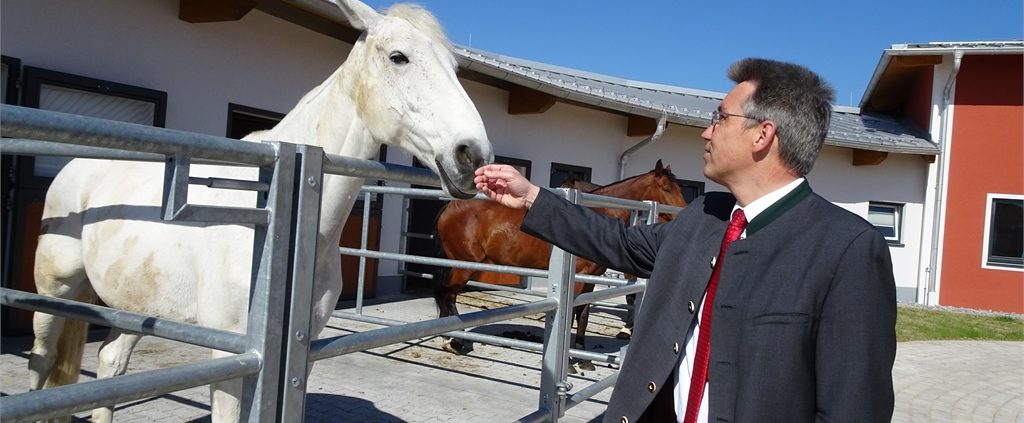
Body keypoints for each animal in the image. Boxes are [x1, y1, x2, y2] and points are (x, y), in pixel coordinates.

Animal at [28, 1, 491, 419]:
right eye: (398, 57)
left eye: (455, 68)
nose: (473, 155)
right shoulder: (232, 358)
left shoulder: (299, 356)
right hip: (55, 292)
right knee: (42, 363)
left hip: (135, 306)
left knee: (110, 364)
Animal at [434, 158, 688, 366]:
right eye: (667, 188)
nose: (682, 214)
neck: (599, 214)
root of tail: (449, 208)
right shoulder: (577, 279)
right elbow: (574, 313)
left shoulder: (590, 279)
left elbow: (583, 314)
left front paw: (583, 358)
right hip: (464, 266)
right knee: (448, 295)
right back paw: (453, 341)